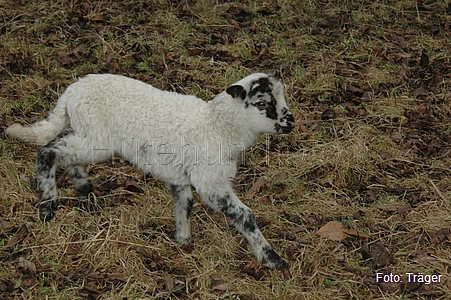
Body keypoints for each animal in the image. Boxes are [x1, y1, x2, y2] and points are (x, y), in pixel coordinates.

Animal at [7, 73, 298, 270]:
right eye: (262, 104)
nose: (291, 122)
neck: (218, 126)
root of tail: (71, 92)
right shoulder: (210, 180)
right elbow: (244, 215)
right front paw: (273, 259)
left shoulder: (181, 175)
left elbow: (184, 204)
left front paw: (183, 242)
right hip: (97, 138)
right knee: (48, 150)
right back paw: (48, 206)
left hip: (87, 134)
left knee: (62, 149)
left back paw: (85, 192)